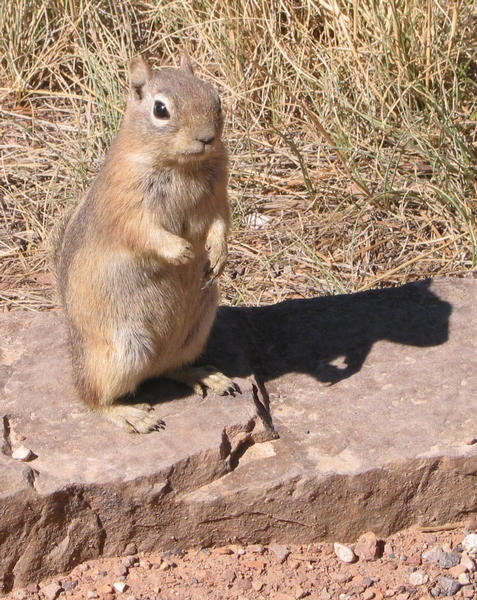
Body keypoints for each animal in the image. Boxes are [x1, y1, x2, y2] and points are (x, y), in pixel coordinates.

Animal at [53, 55, 237, 432]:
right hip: (122, 352)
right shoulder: (126, 207)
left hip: (196, 331)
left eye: (216, 98)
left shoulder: (218, 199)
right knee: (90, 397)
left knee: (169, 369)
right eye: (161, 109)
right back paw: (132, 415)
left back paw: (207, 376)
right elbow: (145, 233)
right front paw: (181, 251)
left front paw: (218, 255)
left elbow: (221, 226)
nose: (207, 138)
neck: (182, 166)